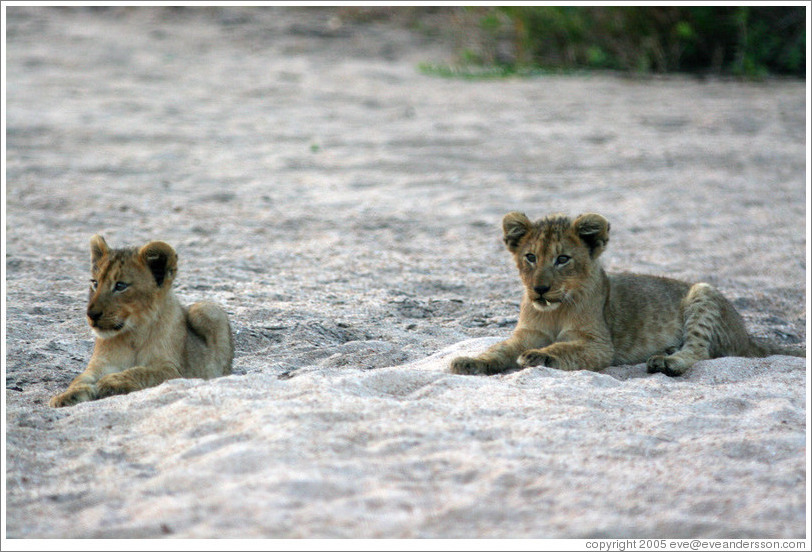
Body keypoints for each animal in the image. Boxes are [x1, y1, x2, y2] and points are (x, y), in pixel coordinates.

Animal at [49, 235, 234, 407]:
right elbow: (80, 379)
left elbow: (140, 372)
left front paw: (111, 382)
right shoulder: (98, 366)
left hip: (206, 309)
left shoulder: (172, 371)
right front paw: (65, 396)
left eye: (120, 286)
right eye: (95, 283)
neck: (132, 334)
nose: (91, 314)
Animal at [450, 212, 804, 377]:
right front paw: (471, 361)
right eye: (530, 257)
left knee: (700, 351)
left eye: (562, 259)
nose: (539, 288)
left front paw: (539, 356)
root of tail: (749, 337)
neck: (554, 310)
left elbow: (564, 348)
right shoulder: (526, 334)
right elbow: (498, 349)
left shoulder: (598, 344)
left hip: (703, 292)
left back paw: (668, 361)